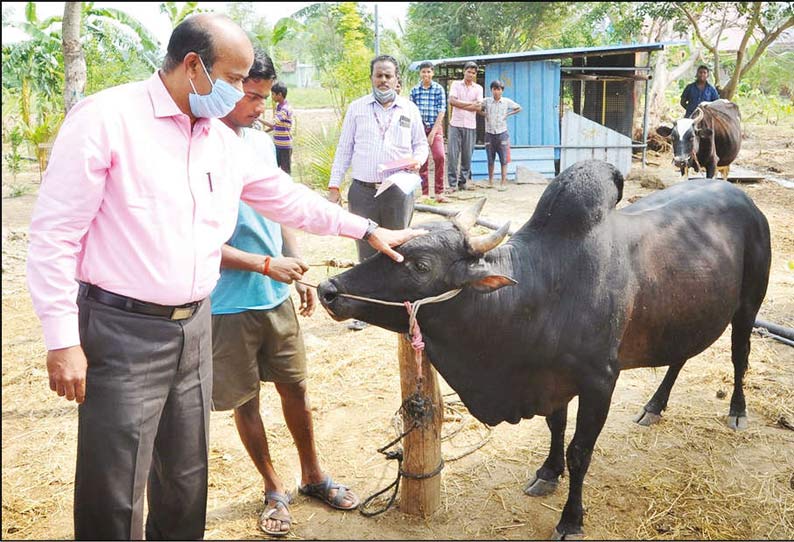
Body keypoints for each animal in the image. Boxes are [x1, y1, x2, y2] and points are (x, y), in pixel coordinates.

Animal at [316, 160, 768, 540]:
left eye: (422, 265)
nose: (327, 289)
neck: (538, 288)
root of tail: (744, 200)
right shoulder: (552, 381)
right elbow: (555, 429)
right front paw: (548, 473)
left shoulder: (599, 382)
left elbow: (580, 452)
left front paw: (571, 519)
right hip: (686, 314)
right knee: (679, 357)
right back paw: (654, 406)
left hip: (748, 307)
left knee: (739, 357)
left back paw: (737, 411)